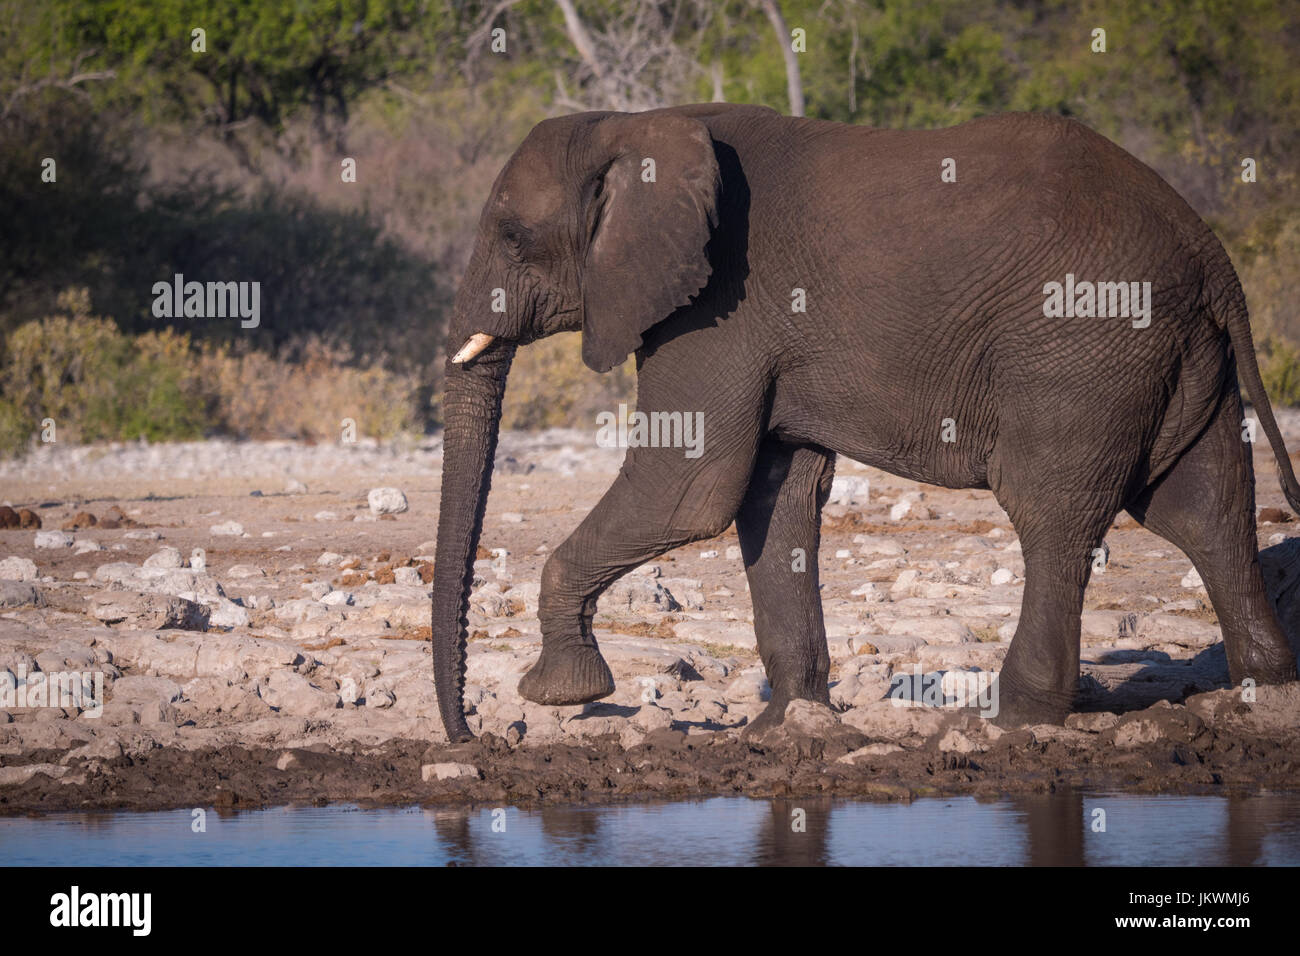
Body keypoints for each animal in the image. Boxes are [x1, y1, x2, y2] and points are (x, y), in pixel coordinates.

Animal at [431, 106, 1300, 749]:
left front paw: (557, 691)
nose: (475, 739)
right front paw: (786, 727)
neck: (632, 124)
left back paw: (1010, 719)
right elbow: (774, 497)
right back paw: (1264, 693)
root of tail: (1209, 251)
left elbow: (687, 489)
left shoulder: (719, 308)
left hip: (1085, 344)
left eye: (512, 238)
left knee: (1053, 514)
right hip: (1172, 353)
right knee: (1205, 509)